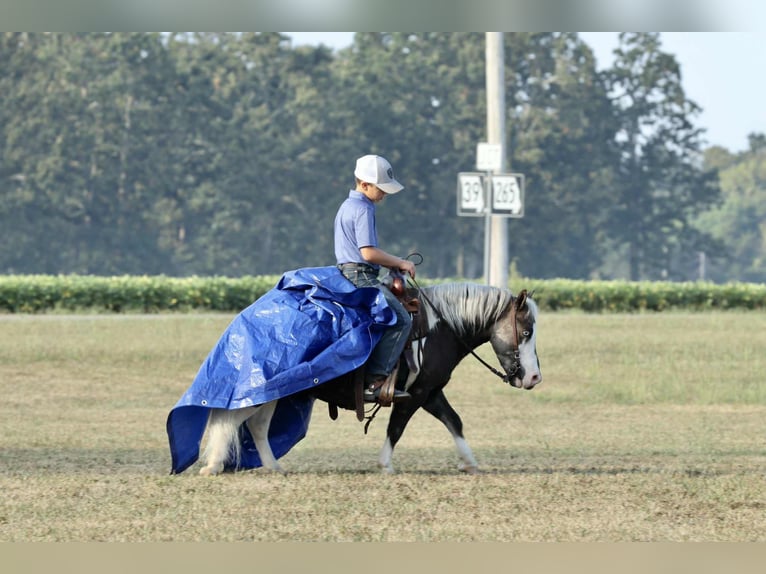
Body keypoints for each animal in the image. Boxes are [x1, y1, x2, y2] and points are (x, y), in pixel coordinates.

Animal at [198, 283, 541, 475]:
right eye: (526, 332)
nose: (535, 377)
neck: (439, 328)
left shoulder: (430, 392)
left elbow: (454, 421)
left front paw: (469, 463)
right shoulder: (414, 394)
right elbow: (397, 427)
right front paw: (385, 465)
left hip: (274, 392)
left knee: (256, 425)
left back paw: (273, 466)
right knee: (232, 418)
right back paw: (213, 464)